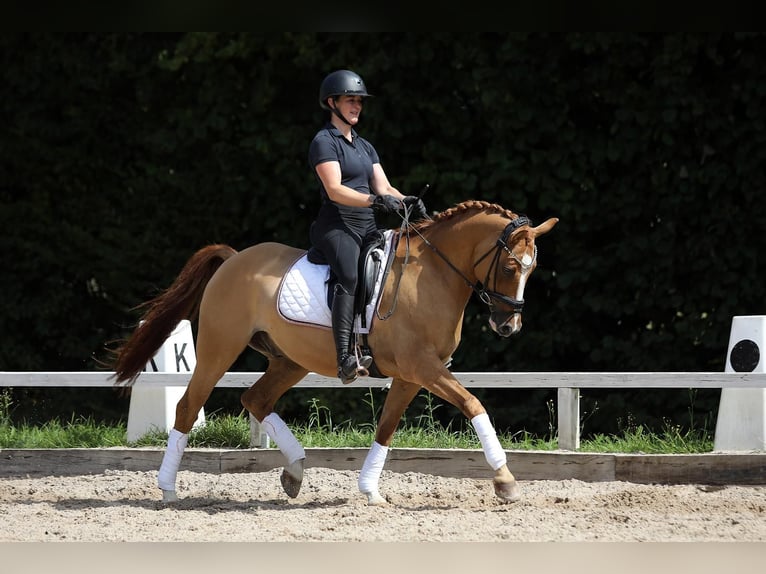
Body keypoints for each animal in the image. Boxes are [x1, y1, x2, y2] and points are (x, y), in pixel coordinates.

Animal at [111, 200, 560, 506]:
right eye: (510, 267)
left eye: (533, 269)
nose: (508, 326)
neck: (431, 274)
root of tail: (235, 259)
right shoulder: (423, 367)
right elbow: (473, 404)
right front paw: (505, 480)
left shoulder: (411, 375)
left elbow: (386, 428)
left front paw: (370, 490)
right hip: (218, 350)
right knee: (189, 406)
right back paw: (168, 489)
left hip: (289, 360)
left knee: (255, 399)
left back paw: (294, 472)